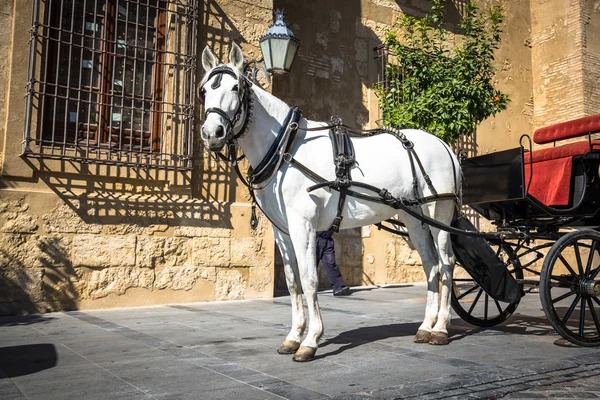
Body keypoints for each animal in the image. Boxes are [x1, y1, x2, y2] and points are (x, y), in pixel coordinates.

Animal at [200, 43, 460, 362]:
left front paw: (311, 340)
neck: (285, 148)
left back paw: (441, 329)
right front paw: (293, 336)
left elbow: (310, 279)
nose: (212, 133)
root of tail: (444, 144)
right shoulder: (282, 230)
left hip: (439, 213)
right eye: (203, 90)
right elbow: (293, 281)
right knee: (431, 265)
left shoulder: (303, 225)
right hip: (414, 218)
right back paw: (426, 326)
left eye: (236, 87)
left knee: (446, 263)